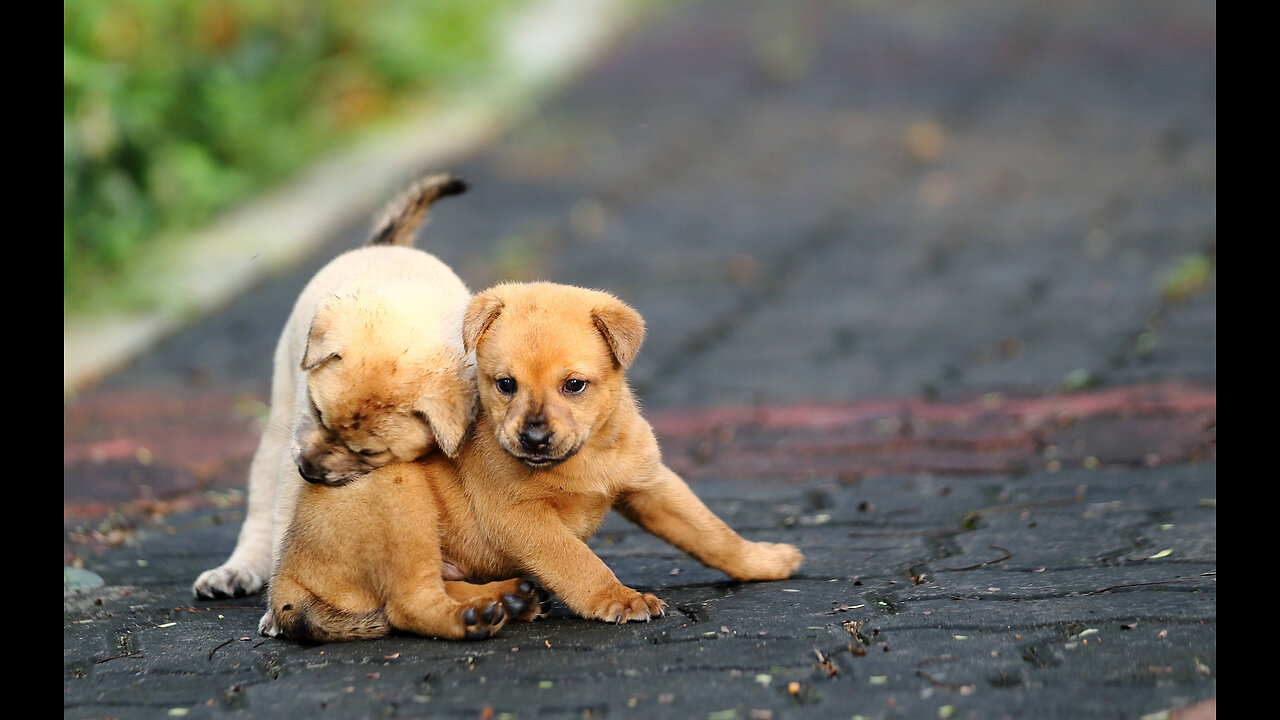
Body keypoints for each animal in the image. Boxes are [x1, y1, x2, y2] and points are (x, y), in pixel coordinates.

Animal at [194, 172, 481, 627]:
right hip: (274, 439)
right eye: (317, 413)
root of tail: (385, 245)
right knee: (259, 517)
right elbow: (284, 534)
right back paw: (235, 571)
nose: (309, 471)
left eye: (369, 453)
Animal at [272, 280, 798, 638]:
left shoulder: (651, 487)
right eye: (505, 384)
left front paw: (764, 560)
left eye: (574, 385)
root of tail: (285, 581)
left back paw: (505, 600)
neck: (587, 456)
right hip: (398, 497)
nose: (534, 438)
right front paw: (618, 598)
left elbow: (712, 533)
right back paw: (473, 618)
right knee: (409, 603)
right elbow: (579, 562)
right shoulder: (521, 518)